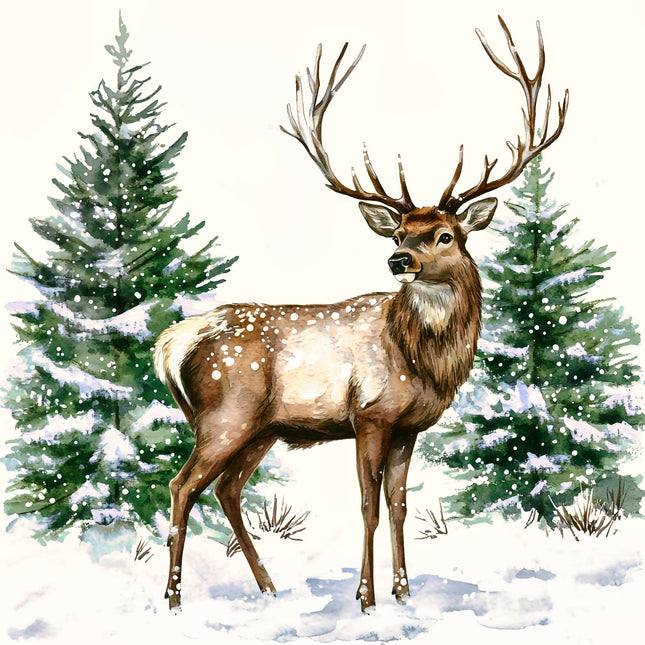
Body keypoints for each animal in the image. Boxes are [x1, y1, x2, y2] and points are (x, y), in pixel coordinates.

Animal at [154, 16, 568, 613]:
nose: (399, 260)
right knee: (183, 485)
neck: (420, 359)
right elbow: (369, 503)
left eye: (445, 234)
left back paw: (269, 587)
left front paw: (404, 591)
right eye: (398, 234)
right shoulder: (369, 413)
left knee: (227, 489)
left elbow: (398, 504)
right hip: (225, 412)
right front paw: (366, 596)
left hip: (261, 428)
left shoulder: (408, 426)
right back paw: (173, 599)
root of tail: (172, 343)